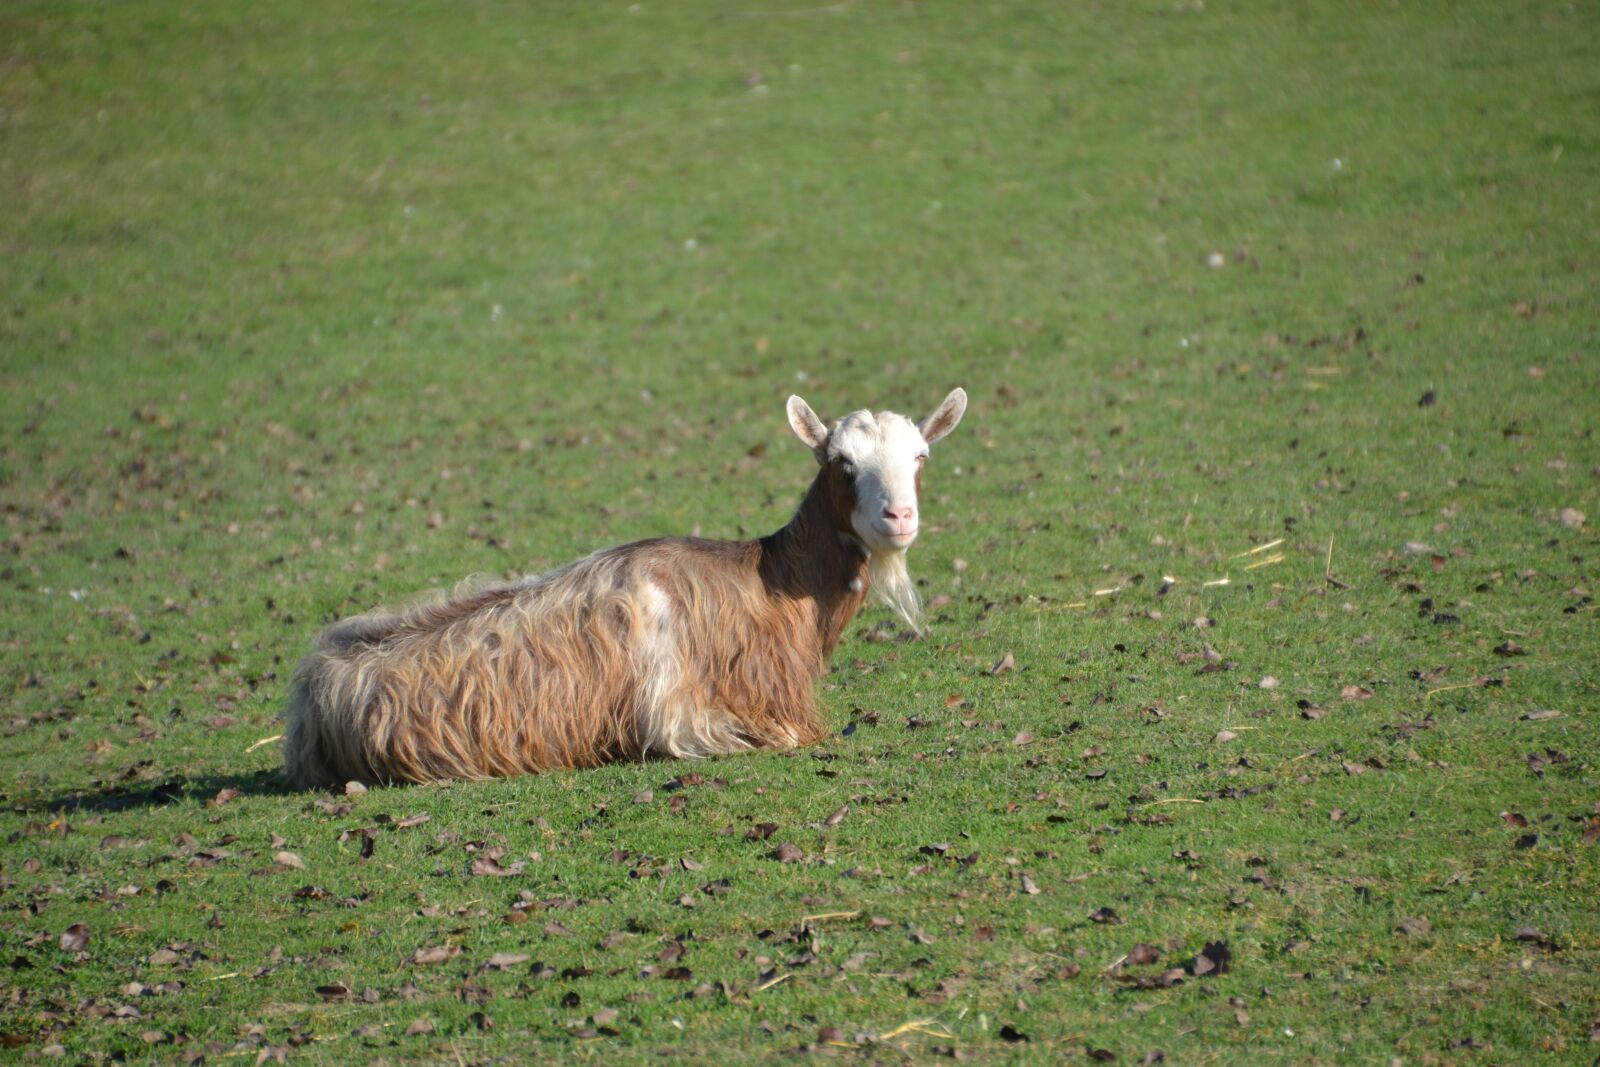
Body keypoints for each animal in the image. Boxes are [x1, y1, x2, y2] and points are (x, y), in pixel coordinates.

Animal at [283, 388, 967, 788]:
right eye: (841, 463)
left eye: (921, 458)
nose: (899, 517)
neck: (772, 585)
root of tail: (314, 690)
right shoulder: (699, 720)